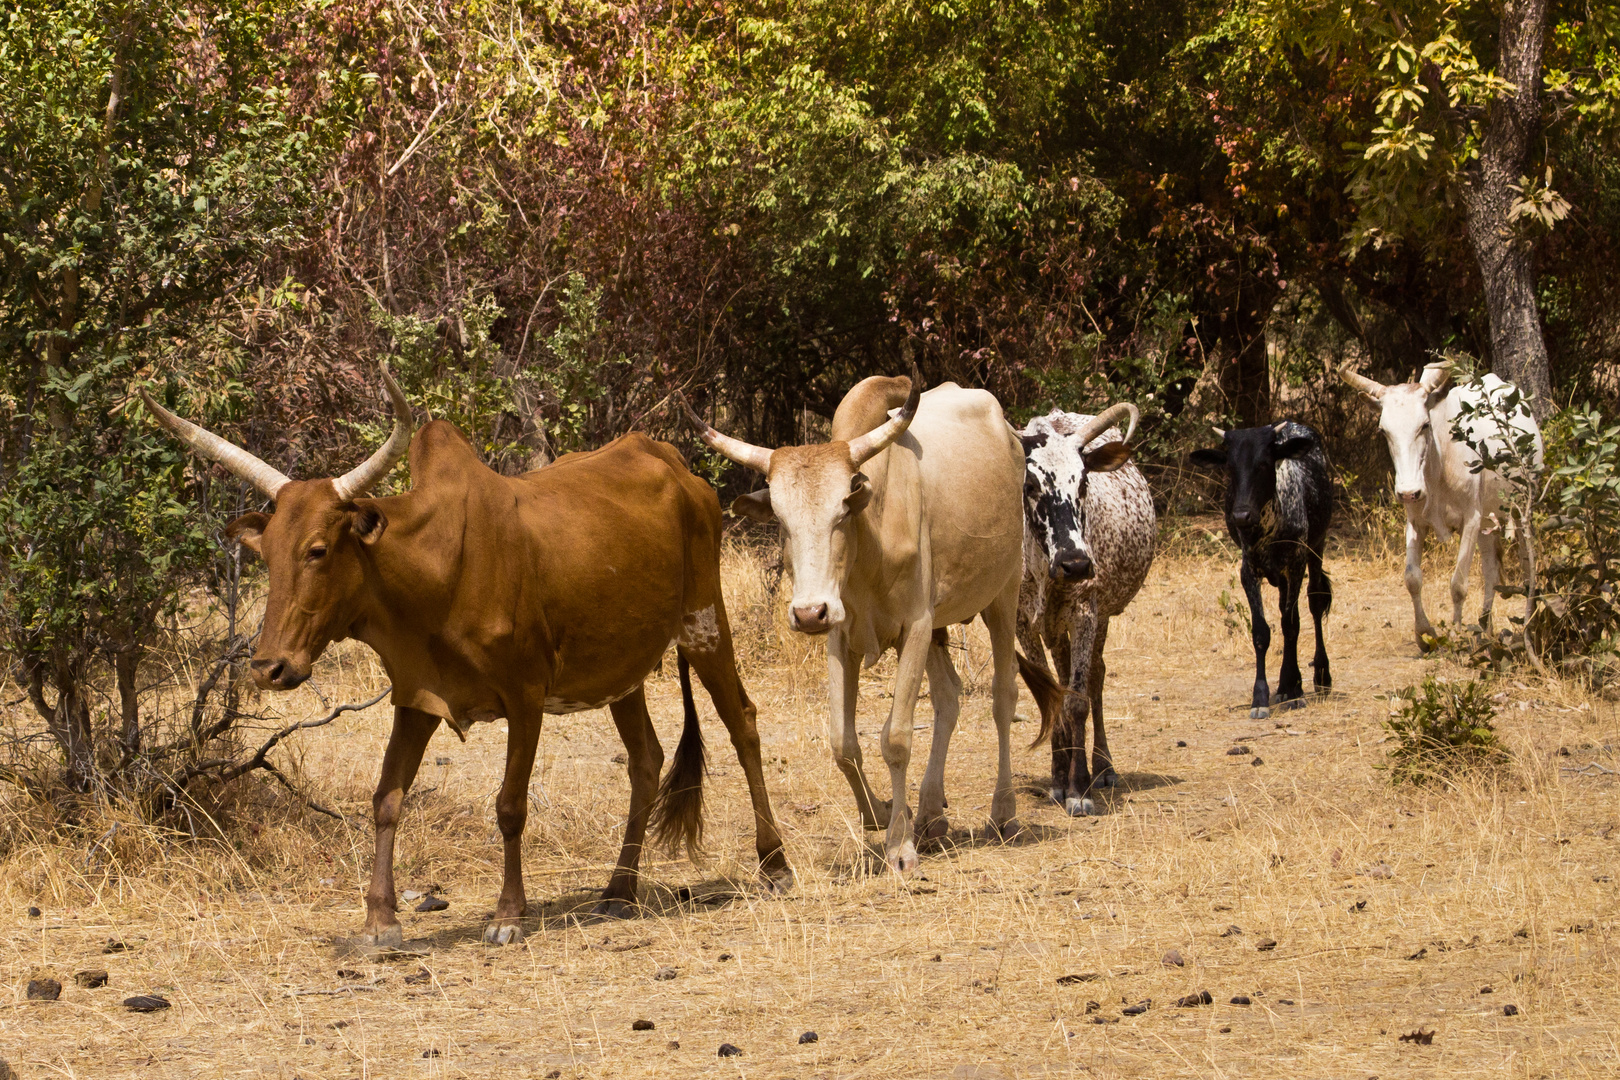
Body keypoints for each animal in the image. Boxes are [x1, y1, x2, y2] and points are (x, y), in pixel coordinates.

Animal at [145, 367, 790, 939]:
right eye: (267, 554)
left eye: (319, 549)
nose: (269, 667)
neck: (435, 568)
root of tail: (675, 464)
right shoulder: (416, 700)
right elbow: (387, 798)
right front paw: (379, 920)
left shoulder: (525, 697)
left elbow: (509, 805)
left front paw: (507, 916)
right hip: (619, 668)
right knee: (646, 759)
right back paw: (619, 890)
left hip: (706, 625)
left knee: (743, 723)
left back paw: (774, 862)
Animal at [683, 375, 1023, 874]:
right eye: (780, 519)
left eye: (842, 510)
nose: (808, 613)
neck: (871, 540)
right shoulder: (841, 637)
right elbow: (843, 743)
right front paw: (882, 814)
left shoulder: (915, 626)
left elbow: (896, 738)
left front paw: (900, 846)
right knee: (948, 697)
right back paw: (930, 812)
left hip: (1005, 592)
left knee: (1003, 697)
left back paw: (1003, 811)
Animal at [1010, 404, 1153, 819]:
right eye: (1030, 485)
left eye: (1084, 483)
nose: (1075, 564)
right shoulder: (1023, 622)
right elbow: (1051, 694)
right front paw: (1060, 781)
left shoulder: (1086, 612)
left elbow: (1076, 700)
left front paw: (1078, 789)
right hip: (1056, 628)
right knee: (1063, 675)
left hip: (1098, 616)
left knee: (1095, 677)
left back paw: (1101, 768)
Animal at [1185, 420, 1334, 718]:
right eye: (1230, 467)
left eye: (1264, 464)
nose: (1241, 515)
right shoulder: (1249, 569)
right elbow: (1261, 632)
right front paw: (1262, 695)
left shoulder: (1296, 562)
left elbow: (1290, 625)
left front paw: (1292, 688)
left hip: (1317, 547)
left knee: (1314, 602)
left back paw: (1320, 675)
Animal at [1334, 362, 1548, 650]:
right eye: (1383, 431)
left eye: (1424, 425)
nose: (1408, 491)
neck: (1438, 466)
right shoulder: (1415, 521)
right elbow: (1412, 579)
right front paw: (1424, 633)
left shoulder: (1471, 519)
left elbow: (1458, 584)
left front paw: (1455, 635)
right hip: (1486, 524)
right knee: (1491, 570)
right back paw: (1485, 626)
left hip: (1521, 508)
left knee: (1526, 566)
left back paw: (1529, 619)